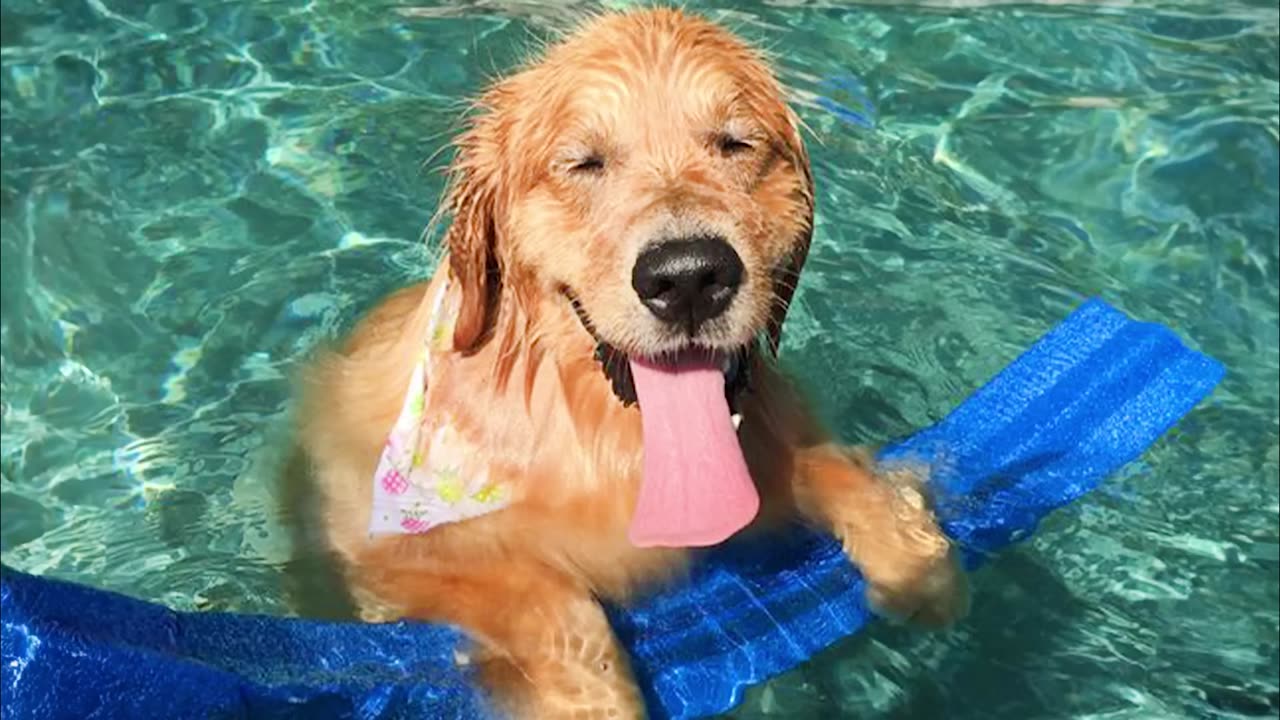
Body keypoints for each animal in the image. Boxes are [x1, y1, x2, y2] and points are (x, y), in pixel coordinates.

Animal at [293, 7, 967, 717]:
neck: (610, 439)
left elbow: (830, 468)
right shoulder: (382, 552)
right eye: (583, 162)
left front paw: (914, 555)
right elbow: (544, 595)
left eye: (735, 144)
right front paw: (593, 697)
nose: (690, 278)